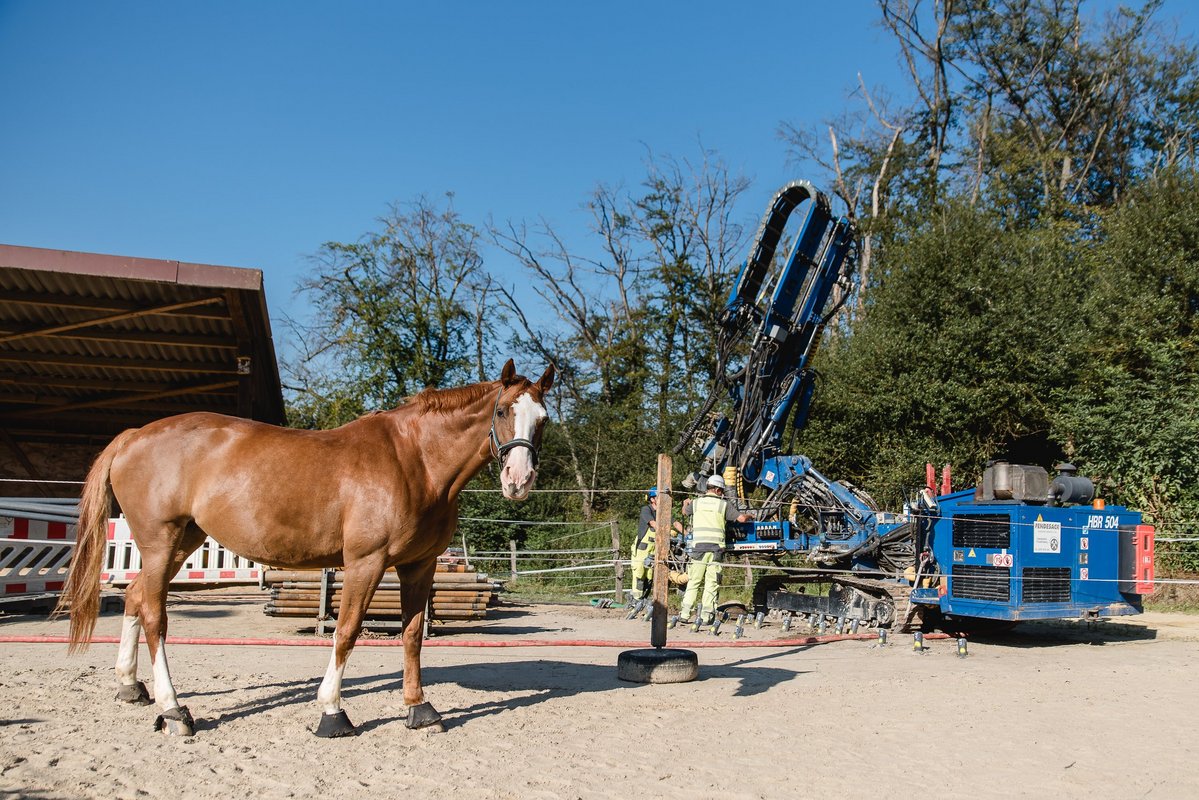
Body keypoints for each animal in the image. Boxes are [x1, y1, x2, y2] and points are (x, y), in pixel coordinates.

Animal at [58, 359, 553, 734]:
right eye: (504, 410)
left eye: (543, 420)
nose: (520, 480)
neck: (414, 461)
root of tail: (134, 435)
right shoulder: (365, 563)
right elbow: (347, 631)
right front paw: (332, 712)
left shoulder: (420, 565)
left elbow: (412, 634)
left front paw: (419, 708)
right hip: (161, 542)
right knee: (155, 616)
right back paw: (174, 710)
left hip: (183, 541)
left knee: (135, 595)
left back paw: (130, 686)